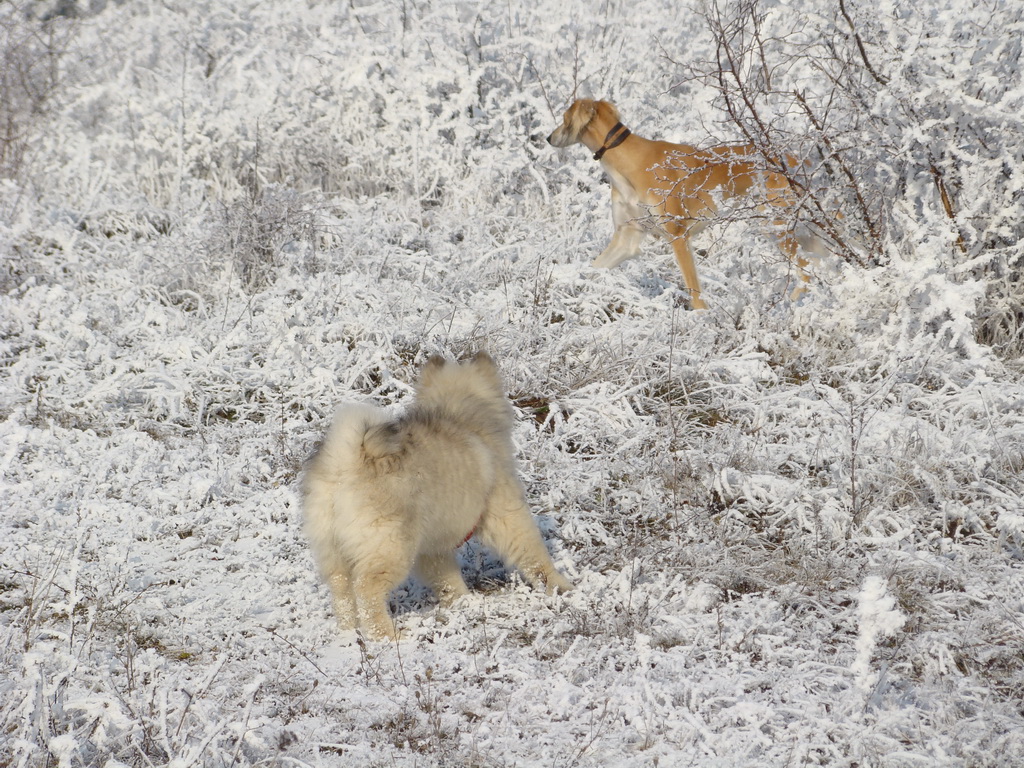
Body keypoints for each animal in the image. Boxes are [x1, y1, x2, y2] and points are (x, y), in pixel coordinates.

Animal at [303, 352, 577, 638]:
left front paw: (463, 603)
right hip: (390, 547)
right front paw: (561, 588)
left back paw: (348, 632)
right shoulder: (506, 514)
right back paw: (386, 635)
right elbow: (535, 556)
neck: (459, 412)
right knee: (367, 591)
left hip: (333, 552)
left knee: (342, 591)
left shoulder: (432, 547)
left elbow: (447, 579)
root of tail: (345, 463)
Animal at [544, 99, 806, 309]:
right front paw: (565, 286)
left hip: (779, 225)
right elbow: (593, 268)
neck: (627, 162)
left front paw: (703, 320)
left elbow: (694, 290)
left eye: (564, 118)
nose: (548, 138)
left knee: (808, 270)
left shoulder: (678, 236)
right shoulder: (627, 237)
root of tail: (795, 158)